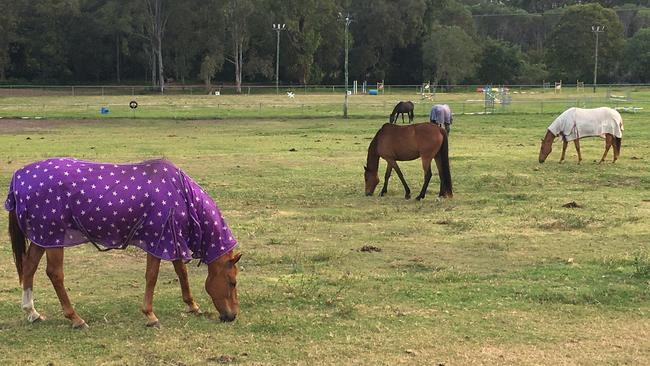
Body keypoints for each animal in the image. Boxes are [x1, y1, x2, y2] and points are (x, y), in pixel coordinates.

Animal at [4, 157, 243, 328]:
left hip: (43, 237)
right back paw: (75, 319)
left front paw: (192, 305)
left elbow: (181, 272)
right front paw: (150, 315)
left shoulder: (170, 240)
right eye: (232, 282)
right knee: (55, 274)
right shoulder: (159, 240)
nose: (232, 316)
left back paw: (32, 312)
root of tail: (19, 177)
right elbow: (152, 276)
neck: (180, 194)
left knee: (29, 267)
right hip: (54, 238)